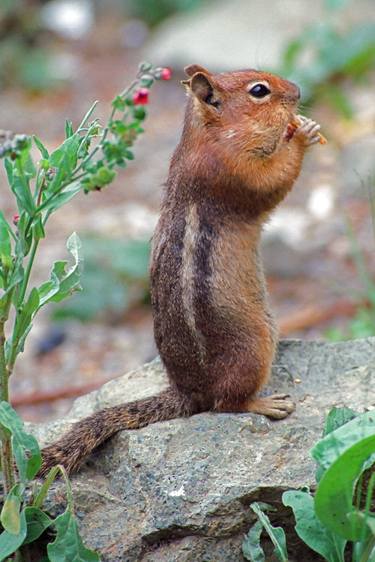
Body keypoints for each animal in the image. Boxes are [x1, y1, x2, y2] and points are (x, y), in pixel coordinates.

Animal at [39, 63, 324, 472]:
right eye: (259, 91)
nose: (298, 91)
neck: (210, 136)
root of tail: (187, 392)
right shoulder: (233, 170)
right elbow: (272, 181)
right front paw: (301, 133)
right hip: (252, 346)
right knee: (226, 403)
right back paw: (267, 403)